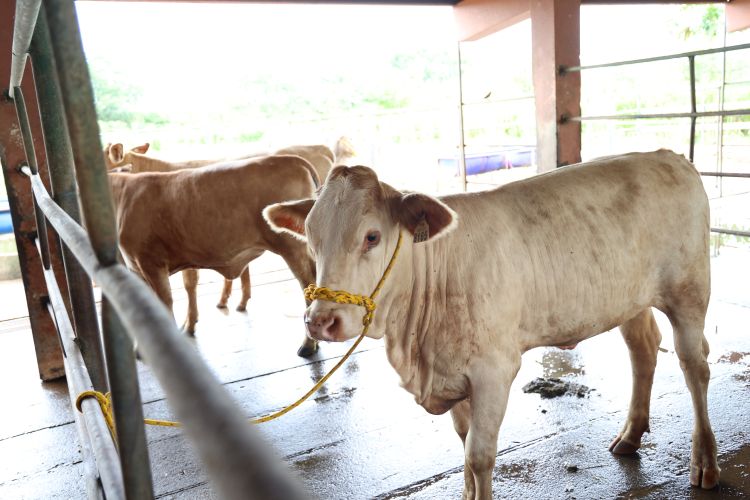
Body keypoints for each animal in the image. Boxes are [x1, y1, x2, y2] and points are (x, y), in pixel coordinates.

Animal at [105, 138, 356, 351]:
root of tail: (290, 158)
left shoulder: (152, 263)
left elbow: (167, 302)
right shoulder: (139, 268)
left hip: (293, 248)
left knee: (310, 289)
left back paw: (308, 345)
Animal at [263, 150, 719, 498]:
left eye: (372, 236)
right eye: (310, 235)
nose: (321, 320)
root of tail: (668, 156)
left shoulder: (494, 370)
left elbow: (479, 456)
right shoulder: (451, 370)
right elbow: (465, 448)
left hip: (689, 293)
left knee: (694, 366)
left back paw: (705, 464)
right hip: (629, 300)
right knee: (643, 350)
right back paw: (630, 436)